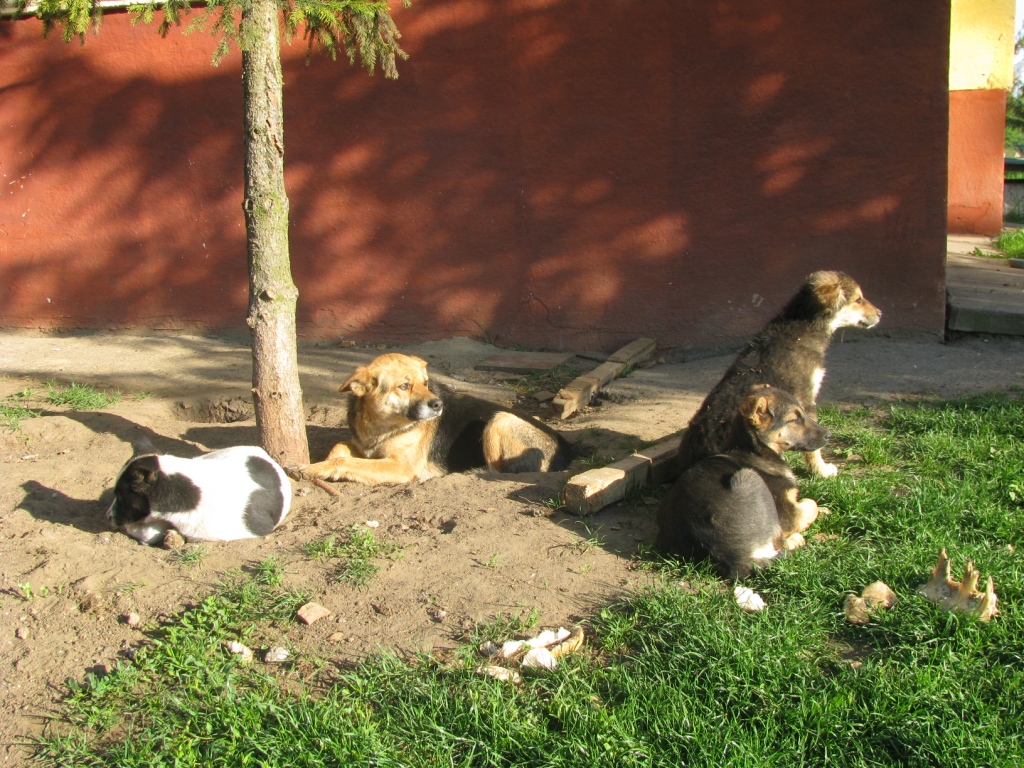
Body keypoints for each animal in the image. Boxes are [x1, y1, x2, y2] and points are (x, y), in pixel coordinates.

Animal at [294, 353, 574, 485]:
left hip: (501, 419)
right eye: (404, 386)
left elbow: (345, 461)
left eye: (426, 383)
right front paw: (321, 464)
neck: (381, 425)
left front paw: (313, 469)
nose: (439, 405)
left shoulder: (400, 467)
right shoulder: (363, 446)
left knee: (497, 472)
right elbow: (339, 448)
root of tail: (566, 451)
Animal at [656, 385, 830, 586]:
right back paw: (794, 540)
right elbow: (810, 504)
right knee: (777, 543)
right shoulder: (788, 514)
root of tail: (731, 559)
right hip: (751, 477)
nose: (829, 435)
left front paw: (825, 510)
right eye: (794, 419)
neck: (755, 450)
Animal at [677, 270, 880, 479]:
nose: (880, 313)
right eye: (858, 299)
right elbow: (814, 447)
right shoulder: (806, 397)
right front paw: (821, 471)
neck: (802, 326)